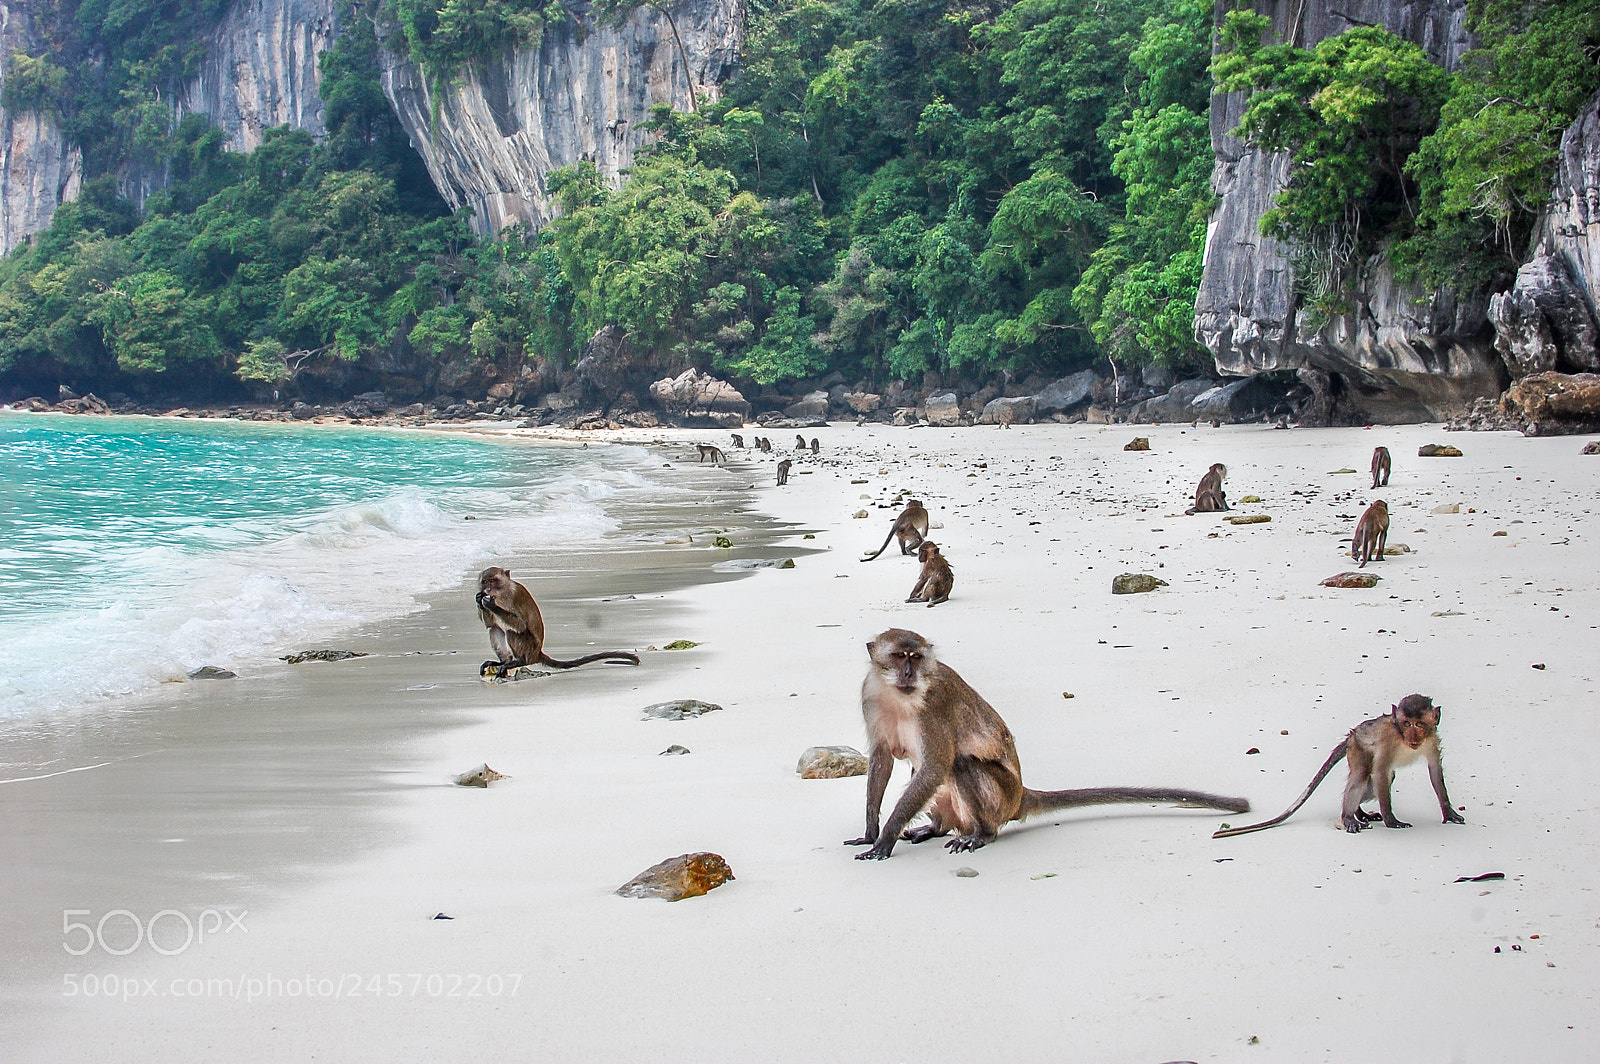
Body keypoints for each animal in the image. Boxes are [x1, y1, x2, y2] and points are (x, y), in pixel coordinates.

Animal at [475, 567, 640, 678]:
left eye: (493, 581)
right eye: (486, 582)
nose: (488, 589)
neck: (501, 594)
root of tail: (537, 653)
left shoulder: (514, 596)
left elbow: (520, 625)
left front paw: (492, 605)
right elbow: (490, 625)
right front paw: (479, 599)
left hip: (529, 647)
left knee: (512, 631)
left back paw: (520, 661)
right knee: (496, 629)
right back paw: (503, 662)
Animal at [848, 630, 1249, 859]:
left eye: (916, 658)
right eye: (898, 656)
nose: (908, 674)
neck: (899, 696)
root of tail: (1021, 796)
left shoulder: (934, 707)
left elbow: (934, 767)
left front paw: (886, 838)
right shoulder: (869, 695)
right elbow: (883, 760)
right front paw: (871, 831)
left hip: (1001, 798)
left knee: (960, 763)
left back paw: (981, 835)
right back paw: (937, 828)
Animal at [1213, 694, 1464, 837]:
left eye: (1419, 724)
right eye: (1406, 723)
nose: (1412, 735)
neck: (1403, 740)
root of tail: (1351, 735)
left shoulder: (1431, 741)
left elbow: (1435, 771)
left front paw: (1449, 812)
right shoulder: (1388, 739)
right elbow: (1380, 773)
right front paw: (1391, 820)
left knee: (1379, 779)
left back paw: (1359, 812)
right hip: (1357, 749)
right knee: (1363, 775)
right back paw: (1348, 816)